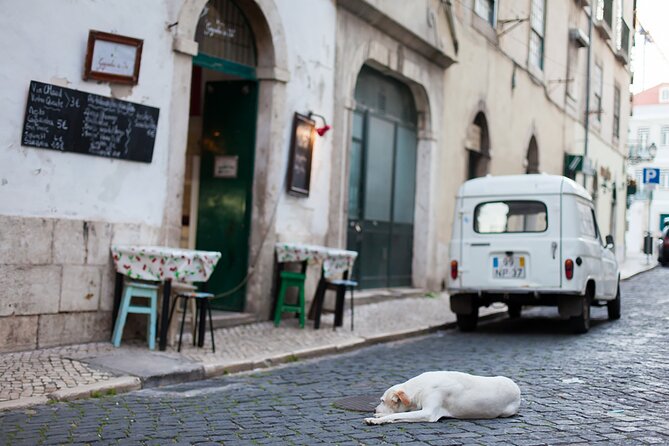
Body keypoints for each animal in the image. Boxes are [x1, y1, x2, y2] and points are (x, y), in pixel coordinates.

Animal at [362, 370, 520, 426]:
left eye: (382, 400)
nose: (374, 409)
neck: (420, 387)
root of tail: (517, 388)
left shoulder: (428, 413)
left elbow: (396, 415)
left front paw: (376, 419)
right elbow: (398, 415)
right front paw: (378, 415)